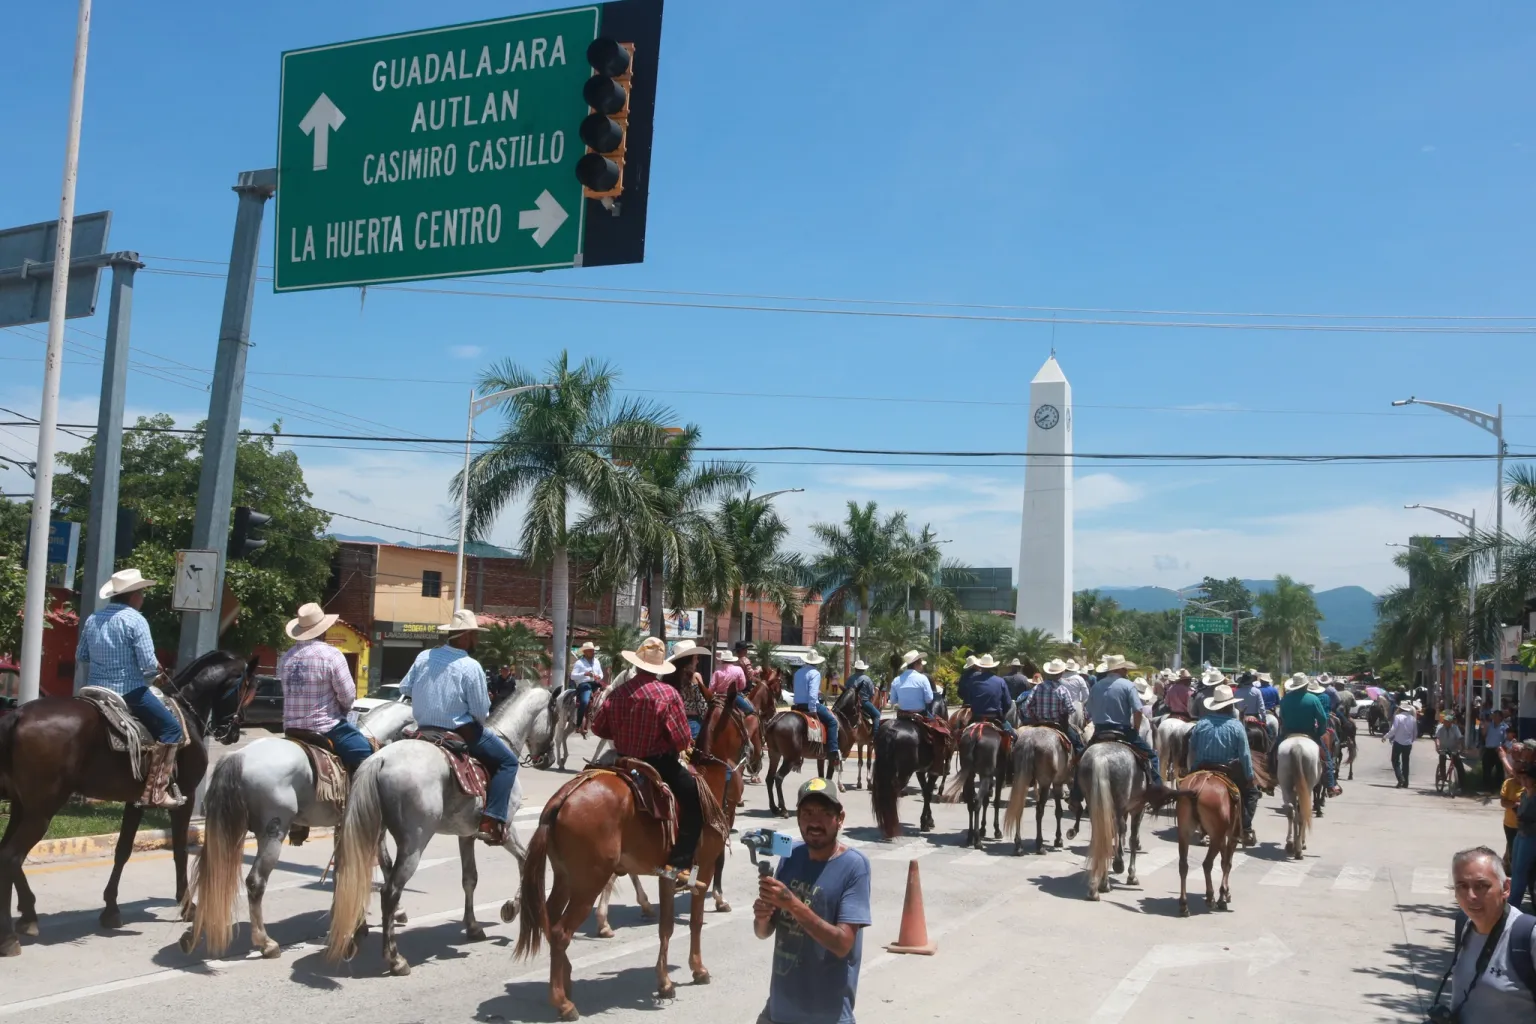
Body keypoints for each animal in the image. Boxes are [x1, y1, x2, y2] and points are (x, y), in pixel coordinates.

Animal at [0, 654, 254, 957]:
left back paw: (26, 915)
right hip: (42, 810)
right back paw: (11, 935)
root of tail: (18, 714)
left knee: (6, 853)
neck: (186, 709)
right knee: (11, 857)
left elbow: (122, 850)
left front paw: (111, 909)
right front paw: (187, 905)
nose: (234, 731)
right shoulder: (187, 798)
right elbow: (180, 850)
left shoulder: (137, 801)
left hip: (21, 807)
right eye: (248, 689)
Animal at [178, 700, 414, 957]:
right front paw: (393, 913)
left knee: (210, 872)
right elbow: (384, 863)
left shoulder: (343, 826)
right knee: (255, 882)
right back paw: (266, 942)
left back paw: (190, 936)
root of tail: (238, 757)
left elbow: (343, 869)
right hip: (273, 833)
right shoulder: (376, 827)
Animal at [327, 687, 556, 976]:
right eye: (556, 713)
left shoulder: (466, 834)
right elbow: (525, 862)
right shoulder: (507, 827)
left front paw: (473, 926)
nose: (548, 759)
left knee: (353, 873)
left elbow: (470, 878)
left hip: (373, 832)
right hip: (415, 842)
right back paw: (395, 959)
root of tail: (380, 758)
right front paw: (511, 908)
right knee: (389, 892)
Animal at [509, 693, 737, 1019]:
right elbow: (694, 921)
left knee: (549, 921)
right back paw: (563, 1002)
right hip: (588, 883)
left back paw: (566, 980)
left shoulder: (668, 874)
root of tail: (562, 798)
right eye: (752, 713)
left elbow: (666, 927)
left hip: (566, 878)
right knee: (561, 931)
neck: (708, 777)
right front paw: (698, 969)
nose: (759, 754)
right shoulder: (703, 868)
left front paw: (664, 982)